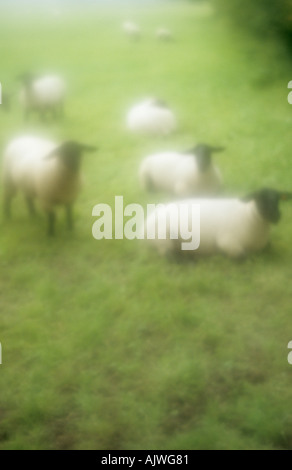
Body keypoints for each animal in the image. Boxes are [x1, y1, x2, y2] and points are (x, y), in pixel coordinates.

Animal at [142, 187, 292, 258]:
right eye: (259, 198)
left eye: (278, 199)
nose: (276, 216)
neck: (250, 216)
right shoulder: (227, 242)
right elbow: (242, 257)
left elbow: (269, 247)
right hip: (163, 239)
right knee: (171, 258)